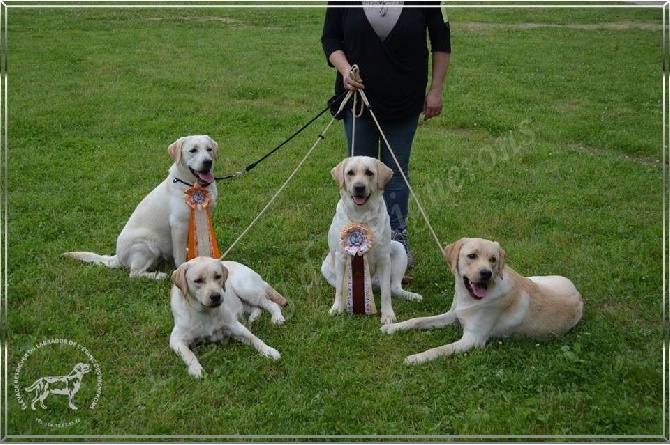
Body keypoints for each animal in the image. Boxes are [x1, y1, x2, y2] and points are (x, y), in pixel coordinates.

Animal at [64, 134, 219, 278]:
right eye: (193, 150)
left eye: (209, 149)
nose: (208, 162)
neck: (193, 186)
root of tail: (117, 257)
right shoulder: (178, 225)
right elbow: (179, 254)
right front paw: (182, 270)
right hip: (146, 244)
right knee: (134, 273)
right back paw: (158, 275)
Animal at [322, 155, 422, 322]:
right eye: (350, 173)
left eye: (369, 172)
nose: (359, 187)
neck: (361, 215)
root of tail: (373, 284)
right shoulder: (341, 256)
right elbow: (340, 290)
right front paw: (336, 308)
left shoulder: (384, 258)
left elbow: (386, 294)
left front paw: (388, 315)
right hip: (326, 267)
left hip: (399, 249)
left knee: (394, 288)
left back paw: (412, 296)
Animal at [384, 238, 584, 362]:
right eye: (472, 256)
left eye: (493, 259)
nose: (486, 273)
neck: (469, 298)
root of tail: (580, 297)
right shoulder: (452, 316)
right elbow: (417, 320)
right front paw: (392, 327)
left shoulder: (473, 339)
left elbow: (440, 349)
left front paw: (416, 358)